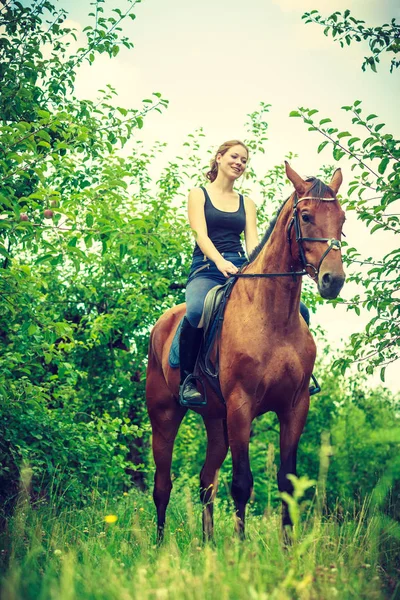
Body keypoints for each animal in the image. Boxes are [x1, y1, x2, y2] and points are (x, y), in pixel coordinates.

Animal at [145, 162, 346, 540]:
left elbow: (286, 483)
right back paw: (160, 545)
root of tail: (162, 324)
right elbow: (241, 484)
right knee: (162, 485)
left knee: (206, 482)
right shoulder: (241, 407)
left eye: (342, 218)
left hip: (216, 421)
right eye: (307, 216)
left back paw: (208, 545)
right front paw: (240, 548)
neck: (272, 316)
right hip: (164, 417)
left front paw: (287, 548)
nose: (334, 280)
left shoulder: (295, 407)